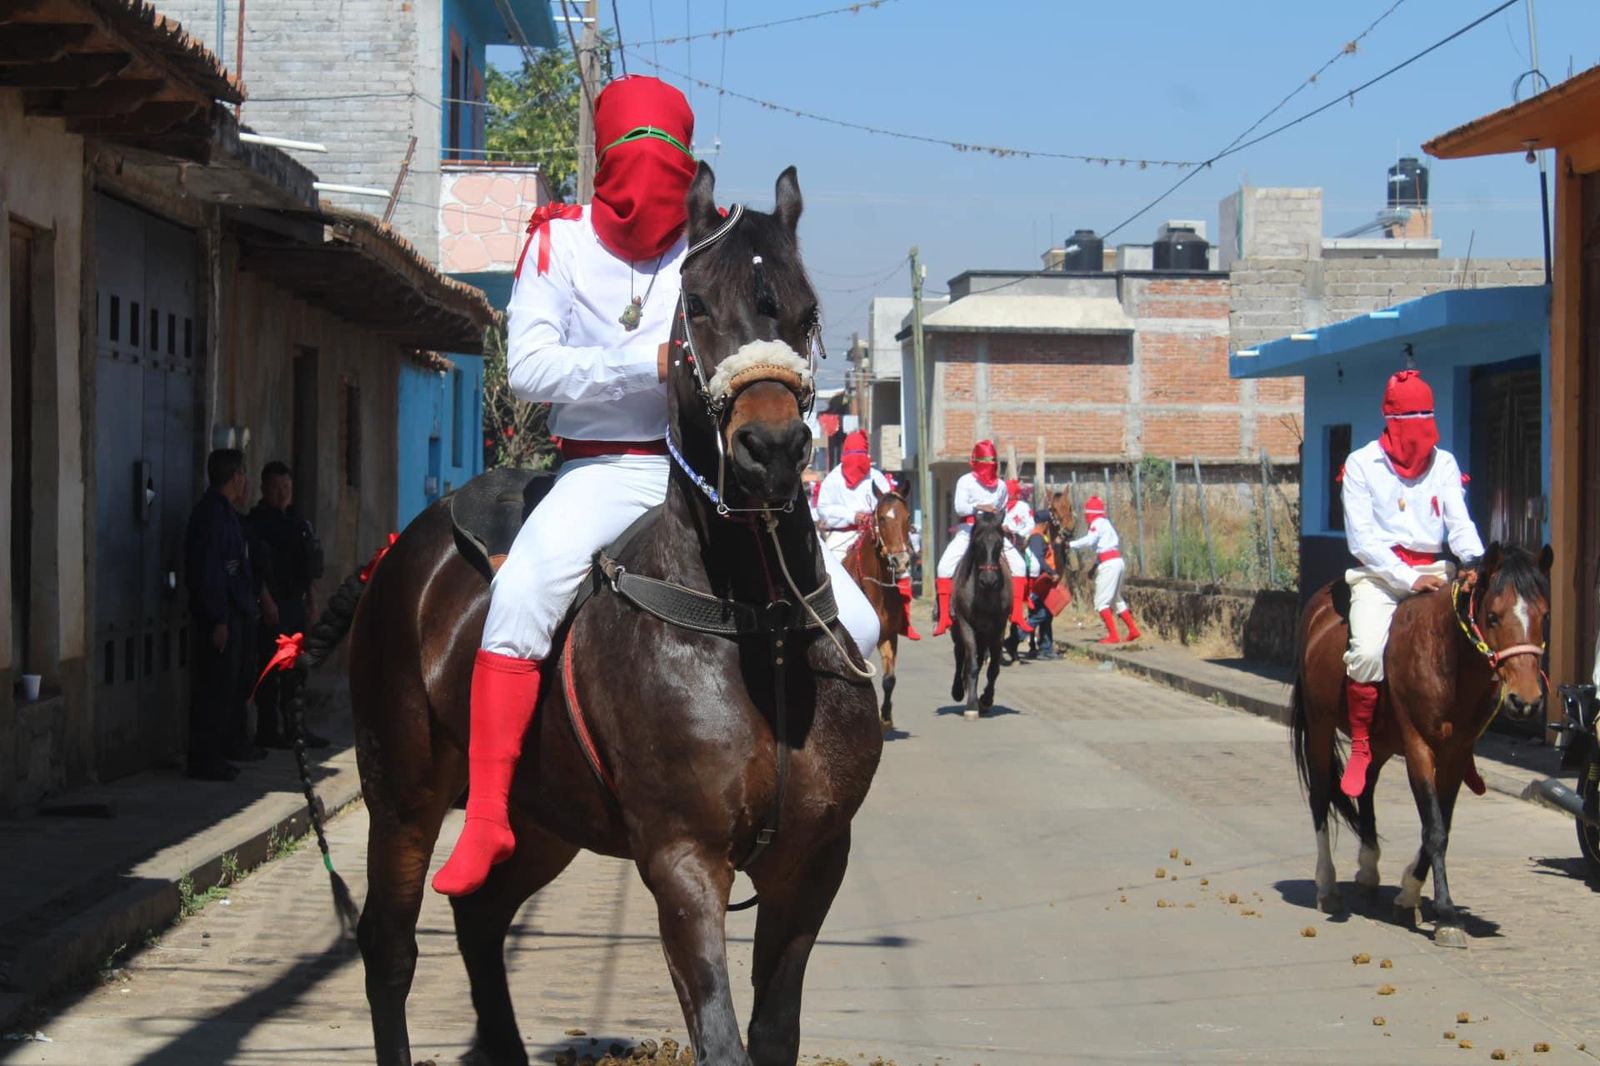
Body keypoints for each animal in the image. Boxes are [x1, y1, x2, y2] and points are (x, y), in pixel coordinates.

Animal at [340, 161, 889, 1056]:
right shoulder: (682, 860)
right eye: (695, 304)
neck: (755, 625)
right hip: (402, 794)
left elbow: (773, 1034)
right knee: (389, 944)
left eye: (807, 310)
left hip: (544, 818)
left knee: (480, 916)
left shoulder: (813, 860)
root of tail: (403, 550)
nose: (771, 449)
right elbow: (722, 1037)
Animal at [838, 489, 915, 729]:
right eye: (881, 518)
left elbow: (889, 679)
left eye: (908, 517)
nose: (900, 560)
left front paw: (886, 717)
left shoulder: (889, 636)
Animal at [947, 505, 1011, 713]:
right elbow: (972, 665)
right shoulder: (966, 625)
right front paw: (972, 704)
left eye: (1000, 543)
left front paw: (986, 699)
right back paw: (958, 691)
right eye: (977, 543)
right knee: (960, 656)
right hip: (958, 631)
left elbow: (993, 668)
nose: (989, 581)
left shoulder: (999, 628)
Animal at [1292, 544, 1542, 941]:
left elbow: (1442, 823)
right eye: (1493, 616)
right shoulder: (1419, 749)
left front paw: (1409, 893)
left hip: (1379, 740)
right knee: (1320, 796)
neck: (1445, 655)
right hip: (1319, 726)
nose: (1526, 700)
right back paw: (1327, 886)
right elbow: (1434, 829)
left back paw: (1368, 869)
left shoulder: (1456, 754)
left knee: (1365, 786)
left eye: (1543, 614)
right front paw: (1447, 916)